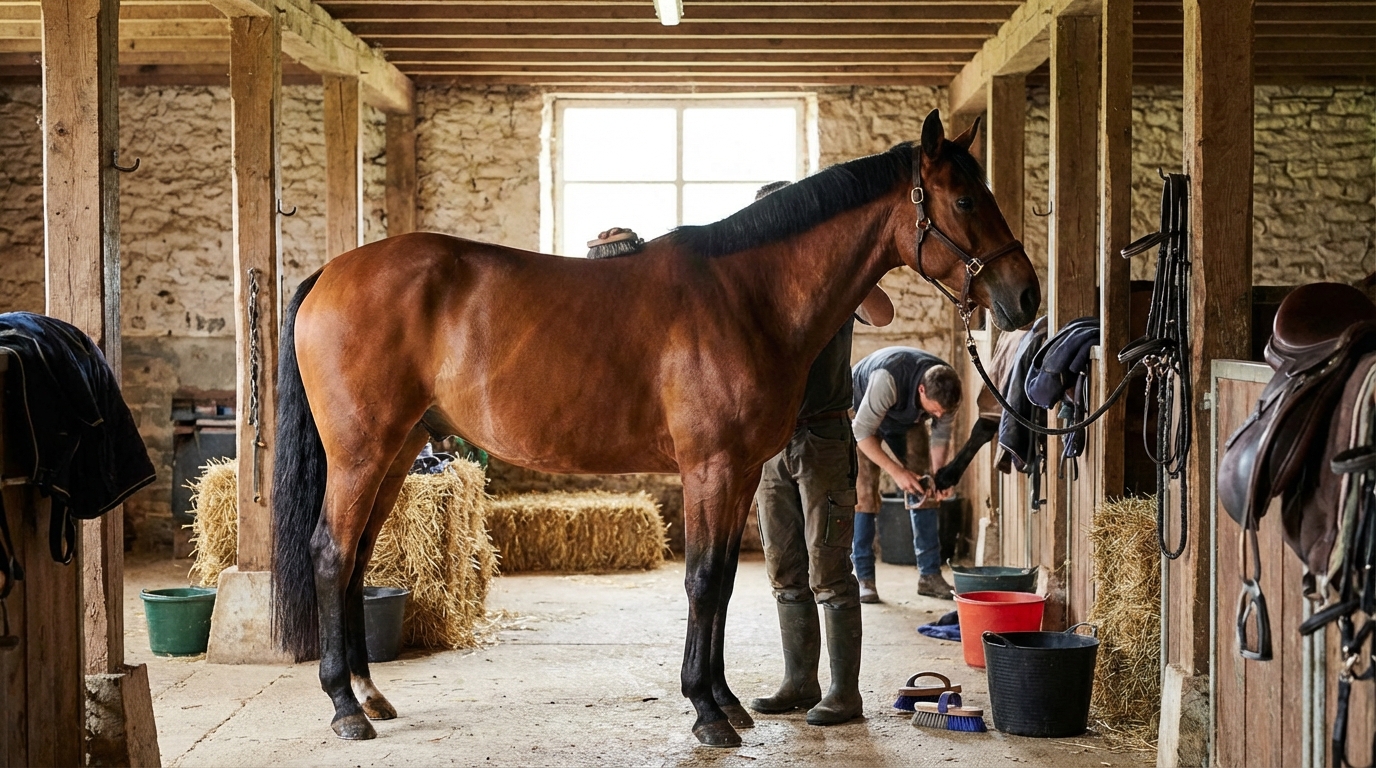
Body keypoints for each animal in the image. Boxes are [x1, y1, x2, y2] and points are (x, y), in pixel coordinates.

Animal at [270, 109, 1040, 748]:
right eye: (965, 200)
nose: (1026, 294)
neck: (747, 295)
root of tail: (330, 274)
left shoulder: (739, 473)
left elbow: (723, 581)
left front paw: (725, 702)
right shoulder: (711, 467)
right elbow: (701, 580)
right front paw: (706, 713)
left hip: (397, 449)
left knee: (359, 557)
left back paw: (370, 693)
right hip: (362, 452)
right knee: (331, 553)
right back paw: (345, 708)